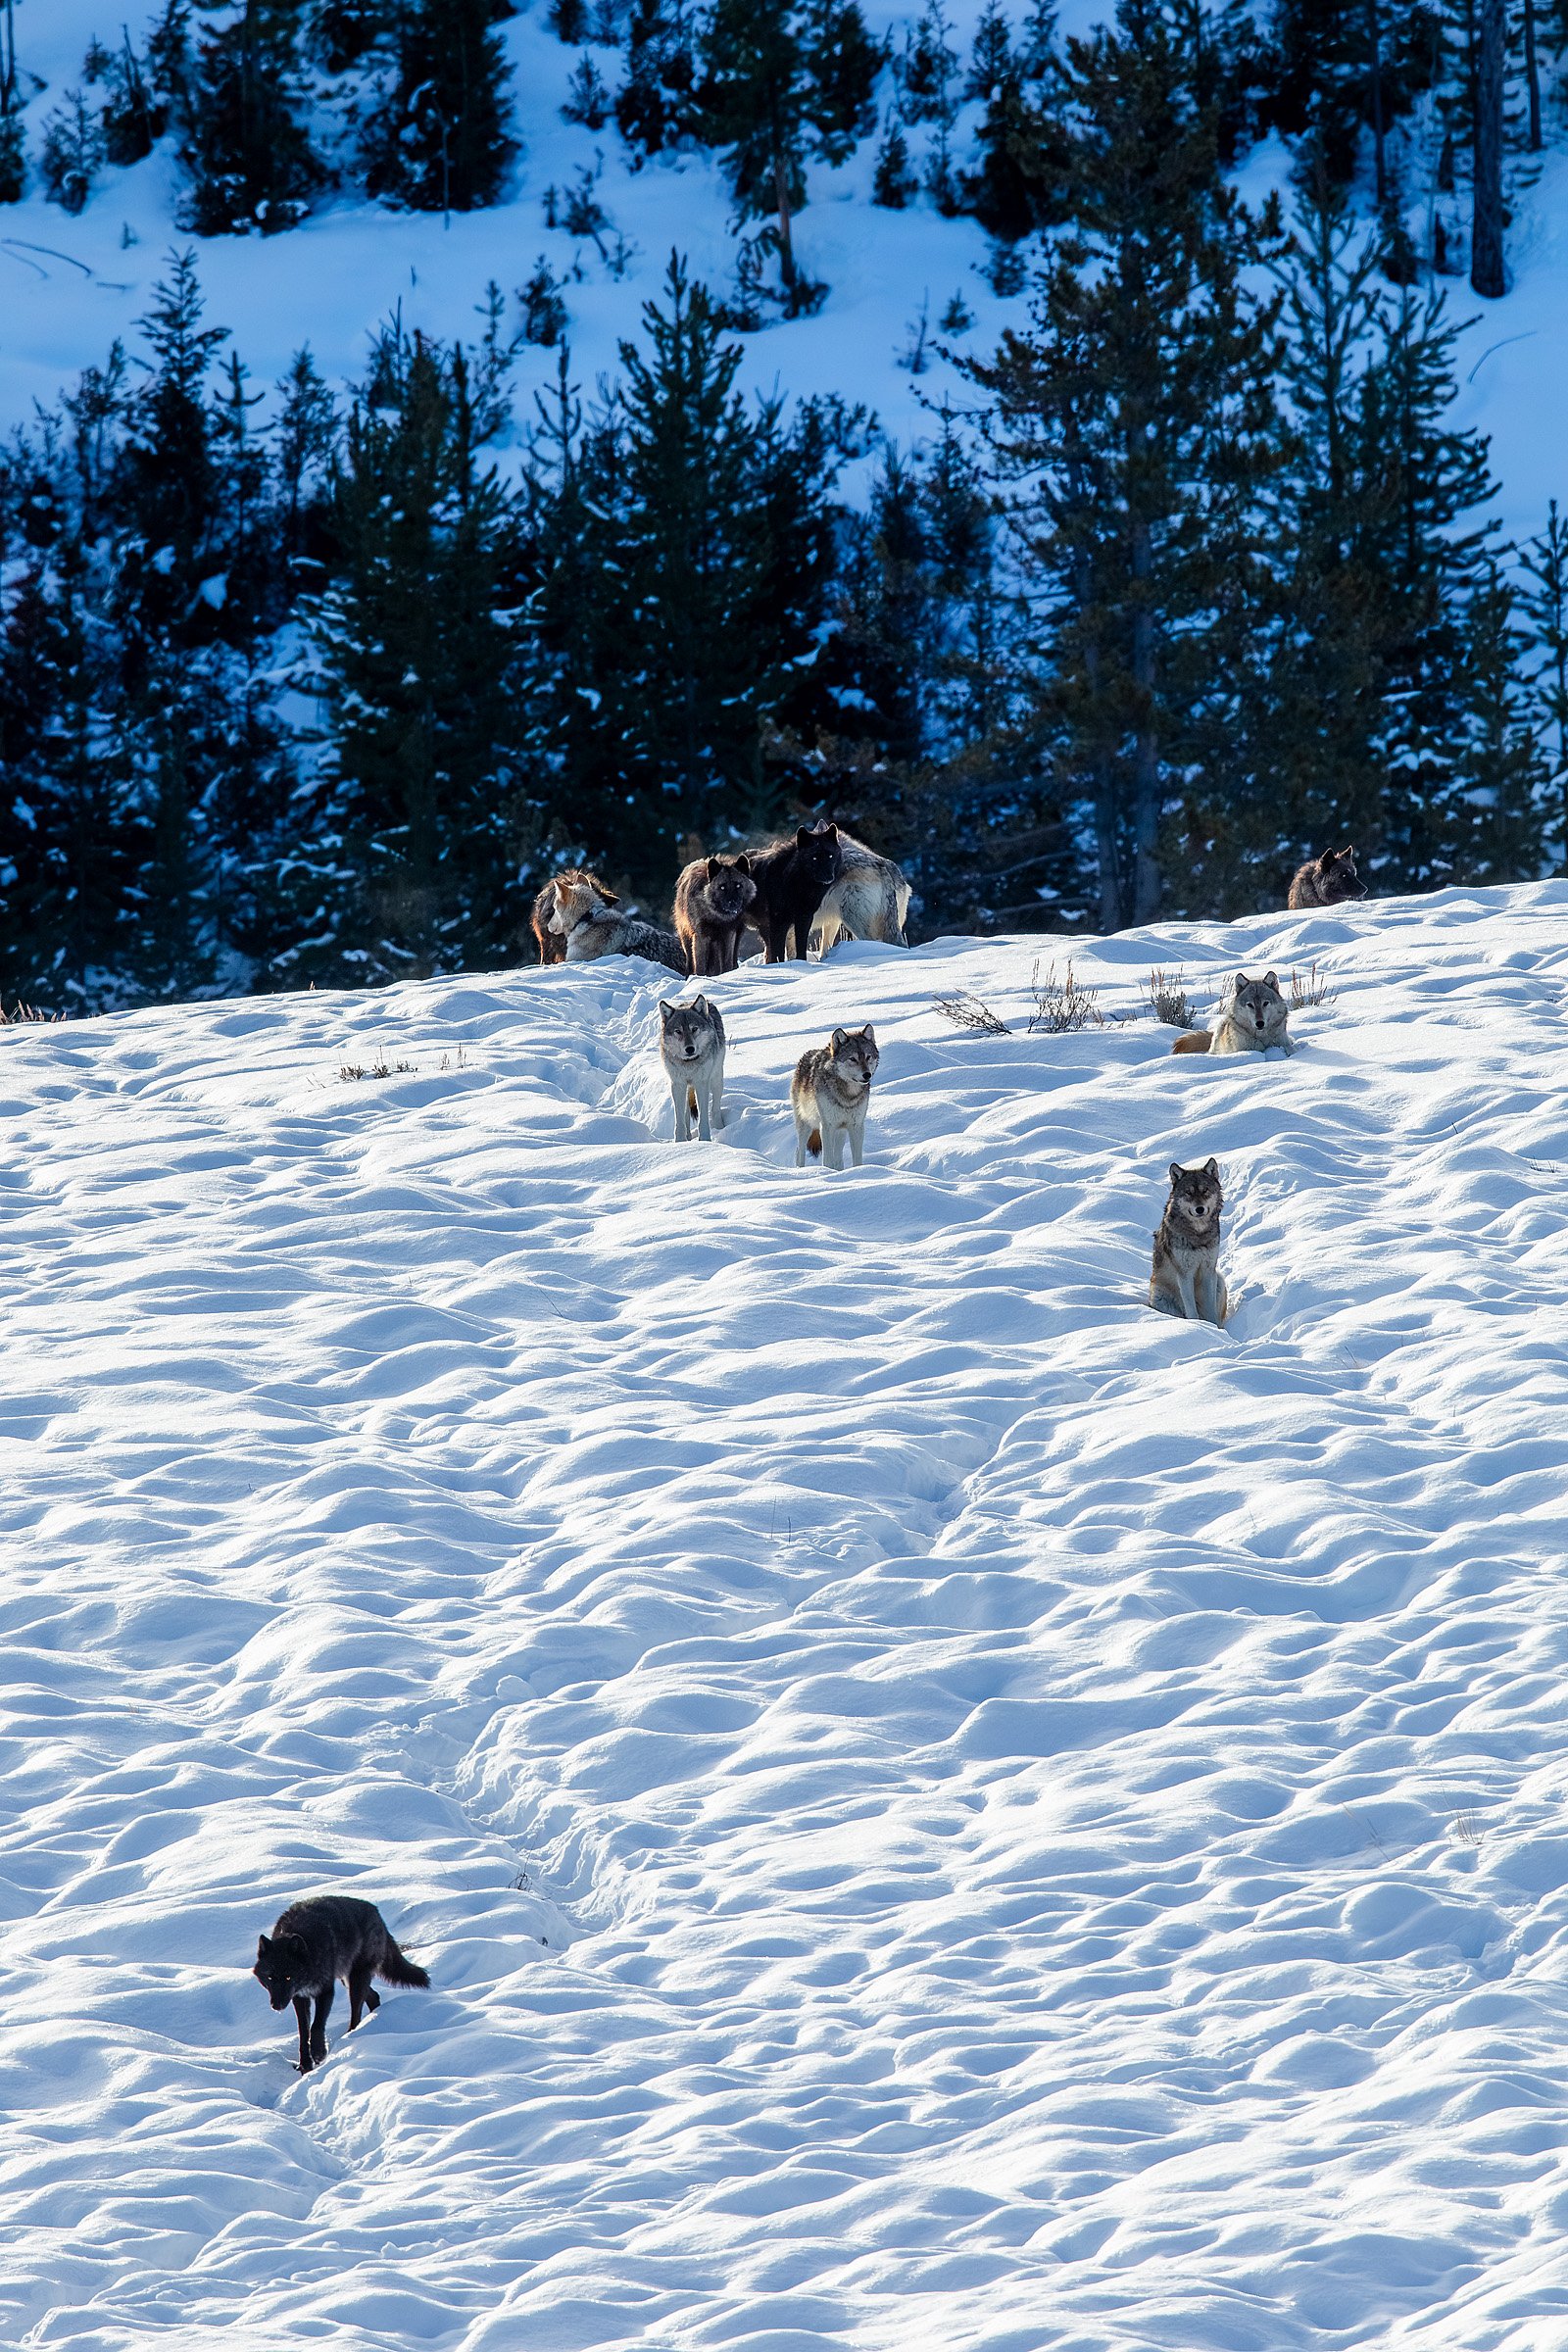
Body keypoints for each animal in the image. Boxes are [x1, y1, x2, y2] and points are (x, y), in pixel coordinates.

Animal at [254, 1895, 430, 2074]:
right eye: (270, 1977)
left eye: (288, 1977)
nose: (276, 2006)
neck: (310, 1946)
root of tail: (376, 1912)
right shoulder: (299, 1997)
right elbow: (304, 2033)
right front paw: (306, 2065)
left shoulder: (325, 1991)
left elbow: (316, 2026)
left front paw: (319, 2053)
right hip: (348, 1980)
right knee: (374, 1997)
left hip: (355, 1981)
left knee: (356, 2014)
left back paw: (350, 2037)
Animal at [659, 996, 727, 1140]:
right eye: (678, 1031)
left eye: (694, 1029)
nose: (690, 1049)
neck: (688, 1064)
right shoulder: (678, 1085)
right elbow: (680, 1120)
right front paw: (680, 1141)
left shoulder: (701, 1083)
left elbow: (703, 1119)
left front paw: (705, 1140)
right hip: (685, 1089)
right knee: (685, 1114)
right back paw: (688, 1137)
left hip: (716, 1079)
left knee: (716, 1109)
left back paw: (720, 1128)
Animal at [749, 824, 843, 962]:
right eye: (814, 857)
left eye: (830, 856)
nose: (828, 877)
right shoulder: (778, 921)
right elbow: (778, 952)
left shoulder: (804, 917)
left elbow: (801, 945)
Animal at [792, 1024, 880, 1168]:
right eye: (852, 1059)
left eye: (868, 1057)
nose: (867, 1075)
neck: (848, 1096)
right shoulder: (827, 1126)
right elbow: (827, 1160)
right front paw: (826, 1172)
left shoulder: (856, 1126)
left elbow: (857, 1160)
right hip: (806, 1125)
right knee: (799, 1151)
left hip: (840, 1132)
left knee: (838, 1157)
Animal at [1149, 1158, 1228, 1326]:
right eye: (1188, 1192)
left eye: (1205, 1190)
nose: (1200, 1209)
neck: (1198, 1235)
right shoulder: (1184, 1274)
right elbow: (1191, 1310)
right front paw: (1197, 1326)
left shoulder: (1208, 1270)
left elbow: (1211, 1310)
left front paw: (1213, 1327)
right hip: (1159, 1296)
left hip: (1219, 1280)